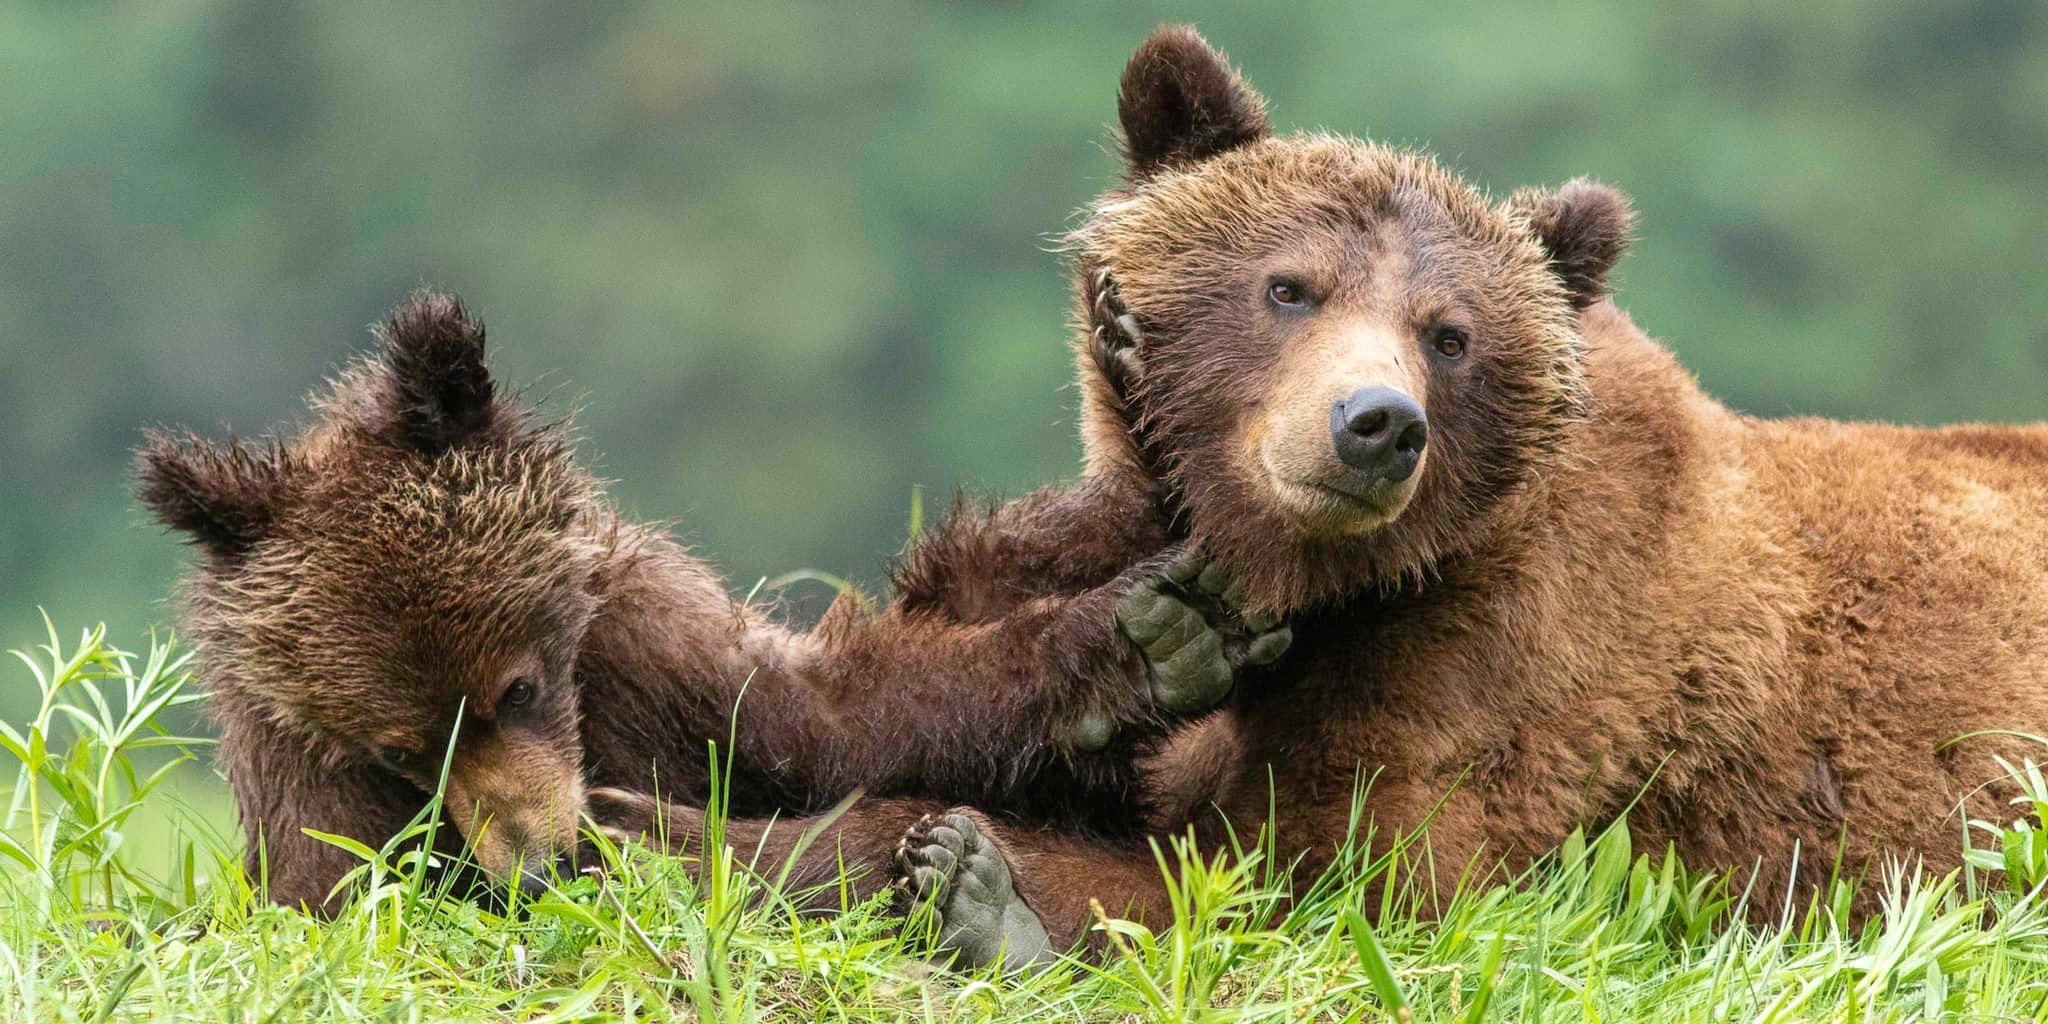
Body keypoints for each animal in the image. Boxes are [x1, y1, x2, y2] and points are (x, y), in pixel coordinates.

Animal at [138, 290, 1274, 923]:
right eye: (402, 747)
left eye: (517, 686)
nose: (532, 867)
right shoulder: (294, 754)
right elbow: (346, 895)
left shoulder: (643, 630)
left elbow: (828, 721)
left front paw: (1150, 633)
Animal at [686, 24, 2048, 960]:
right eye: (1287, 286)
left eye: (1447, 335)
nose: (1373, 424)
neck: (1321, 588)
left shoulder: (1508, 661)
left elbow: (1329, 877)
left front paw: (962, 877)